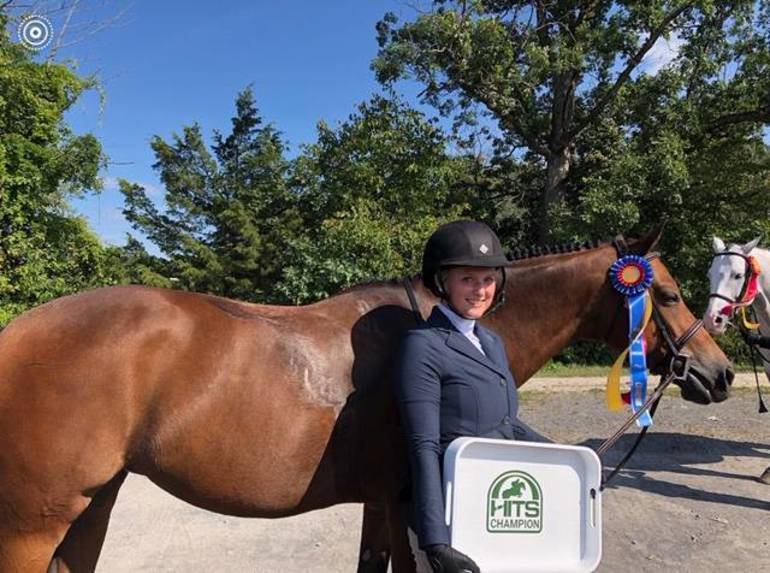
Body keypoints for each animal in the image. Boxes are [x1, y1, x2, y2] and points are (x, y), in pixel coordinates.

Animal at [0, 229, 733, 572]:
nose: (719, 372)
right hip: (31, 525)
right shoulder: (407, 501)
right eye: (668, 294)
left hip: (91, 506)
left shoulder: (379, 503)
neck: (433, 322)